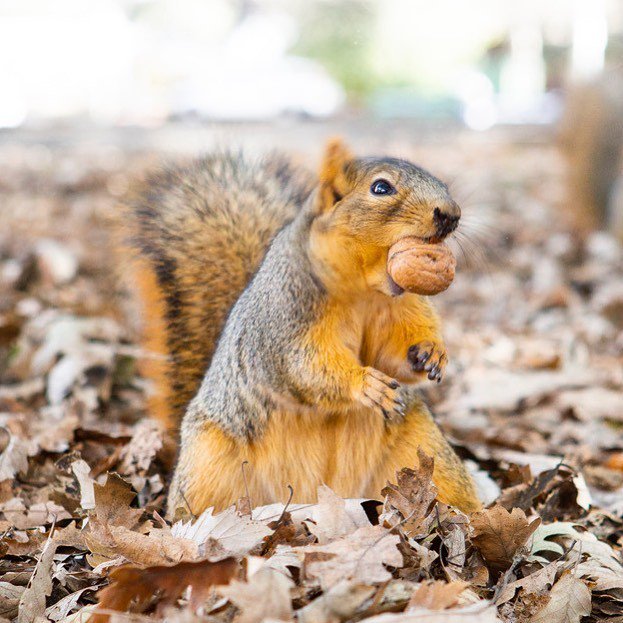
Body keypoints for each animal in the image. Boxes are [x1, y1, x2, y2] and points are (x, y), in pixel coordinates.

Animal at [124, 139, 480, 516]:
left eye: (441, 182)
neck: (364, 288)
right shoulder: (286, 319)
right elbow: (302, 365)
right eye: (381, 188)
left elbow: (391, 355)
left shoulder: (400, 306)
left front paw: (430, 352)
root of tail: (314, 497)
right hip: (209, 462)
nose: (451, 214)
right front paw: (364, 383)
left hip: (423, 450)